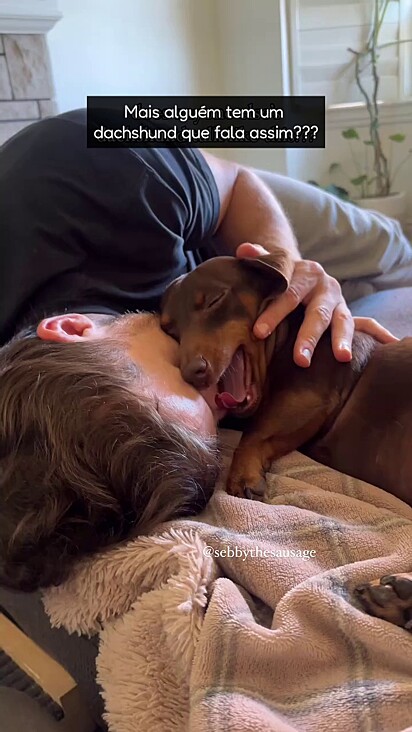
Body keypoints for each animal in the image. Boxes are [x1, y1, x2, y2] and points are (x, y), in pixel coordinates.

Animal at [159, 253, 412, 628]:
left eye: (216, 300)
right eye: (170, 330)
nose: (192, 373)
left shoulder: (306, 396)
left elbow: (257, 431)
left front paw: (243, 475)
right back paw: (399, 602)